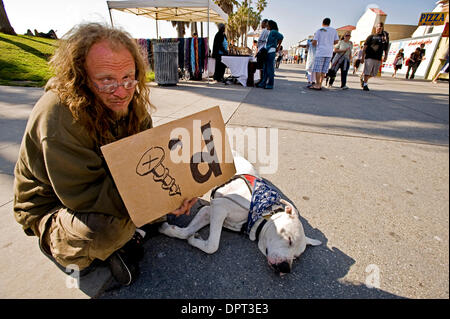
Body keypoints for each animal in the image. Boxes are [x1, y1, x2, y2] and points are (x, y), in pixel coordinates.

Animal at [158, 152, 320, 276]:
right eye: (289, 240)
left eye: (296, 256)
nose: (285, 269)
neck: (260, 214)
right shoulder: (219, 207)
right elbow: (212, 245)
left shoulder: (209, 211)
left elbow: (187, 232)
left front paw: (172, 230)